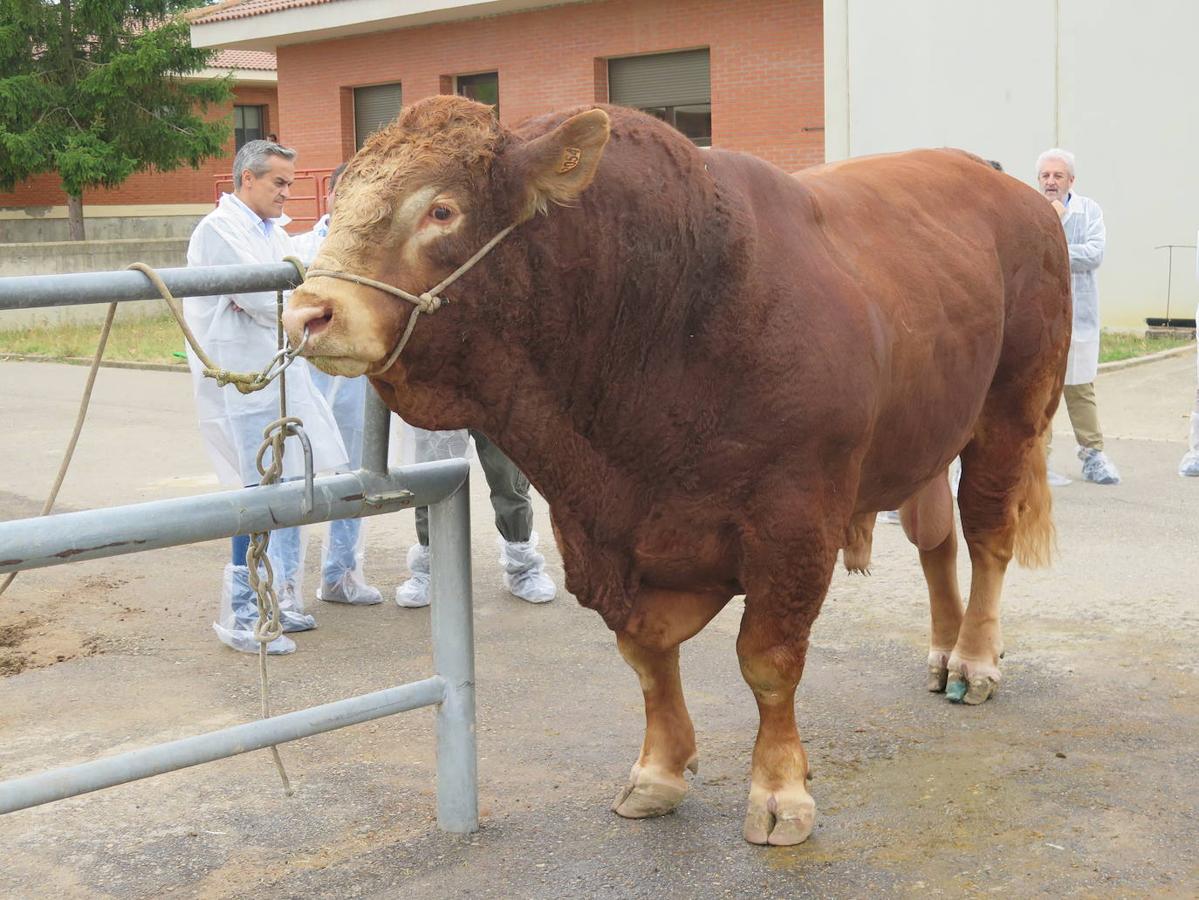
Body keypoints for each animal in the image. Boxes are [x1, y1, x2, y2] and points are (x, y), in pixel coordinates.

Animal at [285, 97, 1074, 843]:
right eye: (340, 201)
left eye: (441, 209)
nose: (309, 313)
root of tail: (1011, 189)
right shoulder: (594, 529)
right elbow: (643, 652)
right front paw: (659, 771)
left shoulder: (794, 521)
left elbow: (767, 659)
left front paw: (779, 790)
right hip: (926, 430)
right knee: (936, 540)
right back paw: (943, 651)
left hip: (1011, 412)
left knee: (987, 535)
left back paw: (974, 660)